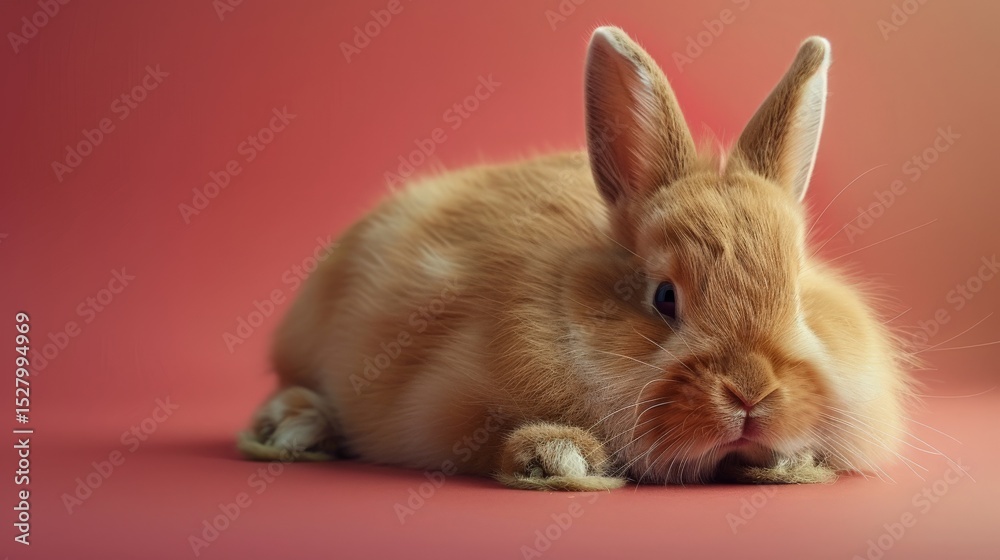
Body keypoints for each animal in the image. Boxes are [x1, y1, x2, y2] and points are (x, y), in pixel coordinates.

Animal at [238, 26, 914, 491]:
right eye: (664, 297)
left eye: (799, 293)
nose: (750, 394)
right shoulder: (441, 408)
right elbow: (494, 441)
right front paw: (560, 457)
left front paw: (793, 458)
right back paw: (292, 428)